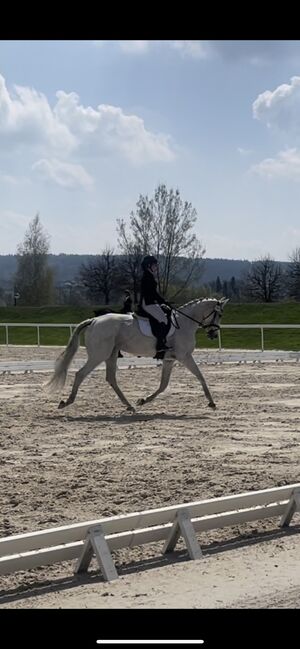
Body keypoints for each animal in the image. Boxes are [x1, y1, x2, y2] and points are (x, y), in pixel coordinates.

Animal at [44, 294, 229, 410]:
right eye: (219, 314)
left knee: (110, 378)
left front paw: (143, 400)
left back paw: (129, 406)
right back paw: (67, 402)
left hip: (111, 354)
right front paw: (212, 402)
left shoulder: (169, 359)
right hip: (99, 355)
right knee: (81, 374)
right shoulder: (185, 357)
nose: (213, 334)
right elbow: (200, 376)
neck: (184, 323)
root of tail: (94, 320)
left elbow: (163, 385)